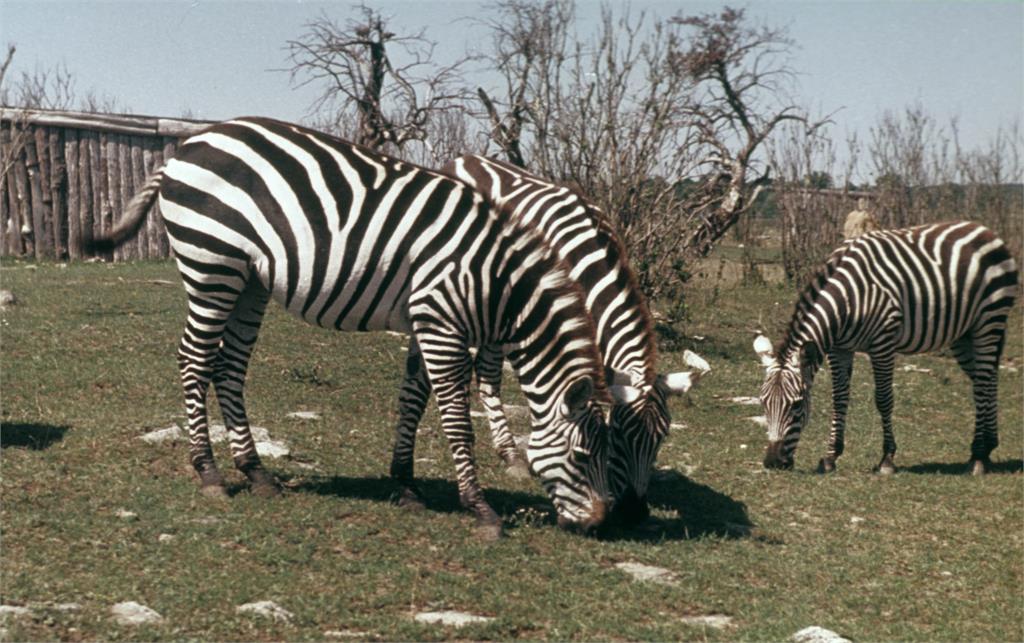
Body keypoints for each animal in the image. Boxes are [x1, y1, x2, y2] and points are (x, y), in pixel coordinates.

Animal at [90, 116, 614, 536]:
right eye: (583, 456)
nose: (597, 523)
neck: (495, 281)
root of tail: (186, 147)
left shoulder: (426, 321)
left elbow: (413, 401)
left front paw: (405, 486)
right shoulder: (442, 322)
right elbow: (456, 420)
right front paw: (480, 508)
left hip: (248, 282)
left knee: (229, 367)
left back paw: (256, 471)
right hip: (211, 265)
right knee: (195, 360)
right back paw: (209, 472)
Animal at [753, 221, 1015, 473]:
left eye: (797, 405)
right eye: (763, 402)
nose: (773, 462)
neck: (846, 300)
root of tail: (985, 230)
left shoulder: (883, 343)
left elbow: (884, 399)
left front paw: (887, 459)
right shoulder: (839, 349)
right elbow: (839, 399)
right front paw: (830, 457)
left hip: (989, 319)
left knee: (983, 382)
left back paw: (978, 455)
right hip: (963, 335)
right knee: (987, 378)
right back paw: (988, 447)